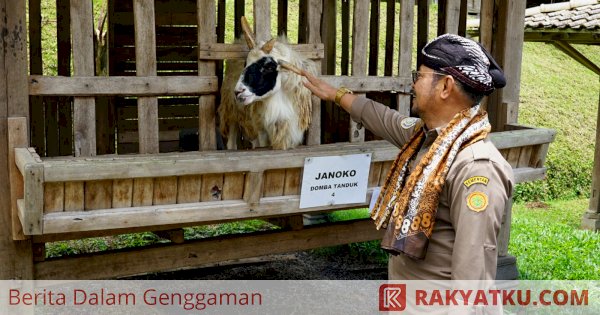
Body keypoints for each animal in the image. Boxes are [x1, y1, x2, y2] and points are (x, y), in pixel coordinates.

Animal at [219, 17, 316, 151]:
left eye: (269, 67)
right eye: (245, 64)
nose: (238, 92)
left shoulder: (291, 133)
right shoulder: (262, 130)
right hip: (232, 110)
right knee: (232, 141)